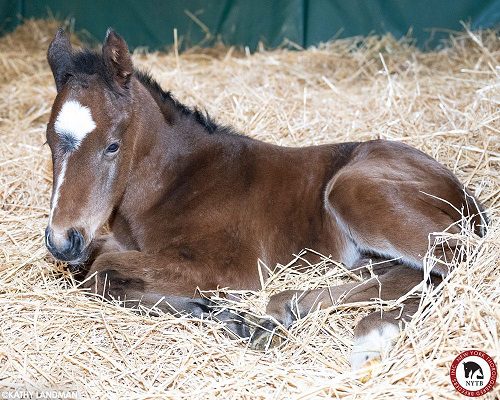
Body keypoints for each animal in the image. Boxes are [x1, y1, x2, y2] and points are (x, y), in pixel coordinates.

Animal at [44, 28, 487, 370]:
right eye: (48, 141)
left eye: (112, 146)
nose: (62, 240)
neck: (175, 182)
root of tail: (463, 192)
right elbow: (90, 270)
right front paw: (216, 314)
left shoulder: (227, 267)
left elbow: (101, 273)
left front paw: (221, 314)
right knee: (406, 274)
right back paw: (288, 308)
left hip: (353, 191)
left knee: (455, 265)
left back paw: (365, 336)